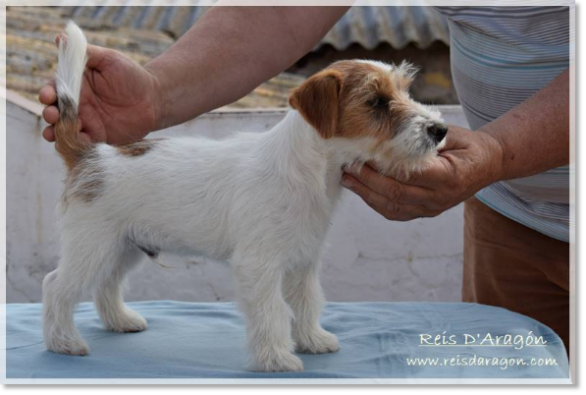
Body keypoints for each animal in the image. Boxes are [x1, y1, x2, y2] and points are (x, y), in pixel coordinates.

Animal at [44, 22, 448, 374]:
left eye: (404, 91)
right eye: (376, 102)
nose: (440, 129)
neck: (310, 173)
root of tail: (89, 154)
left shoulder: (303, 263)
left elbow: (307, 302)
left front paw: (312, 340)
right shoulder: (259, 265)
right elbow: (273, 312)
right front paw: (276, 359)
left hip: (123, 247)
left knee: (107, 284)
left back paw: (120, 321)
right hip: (93, 246)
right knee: (57, 287)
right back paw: (62, 342)